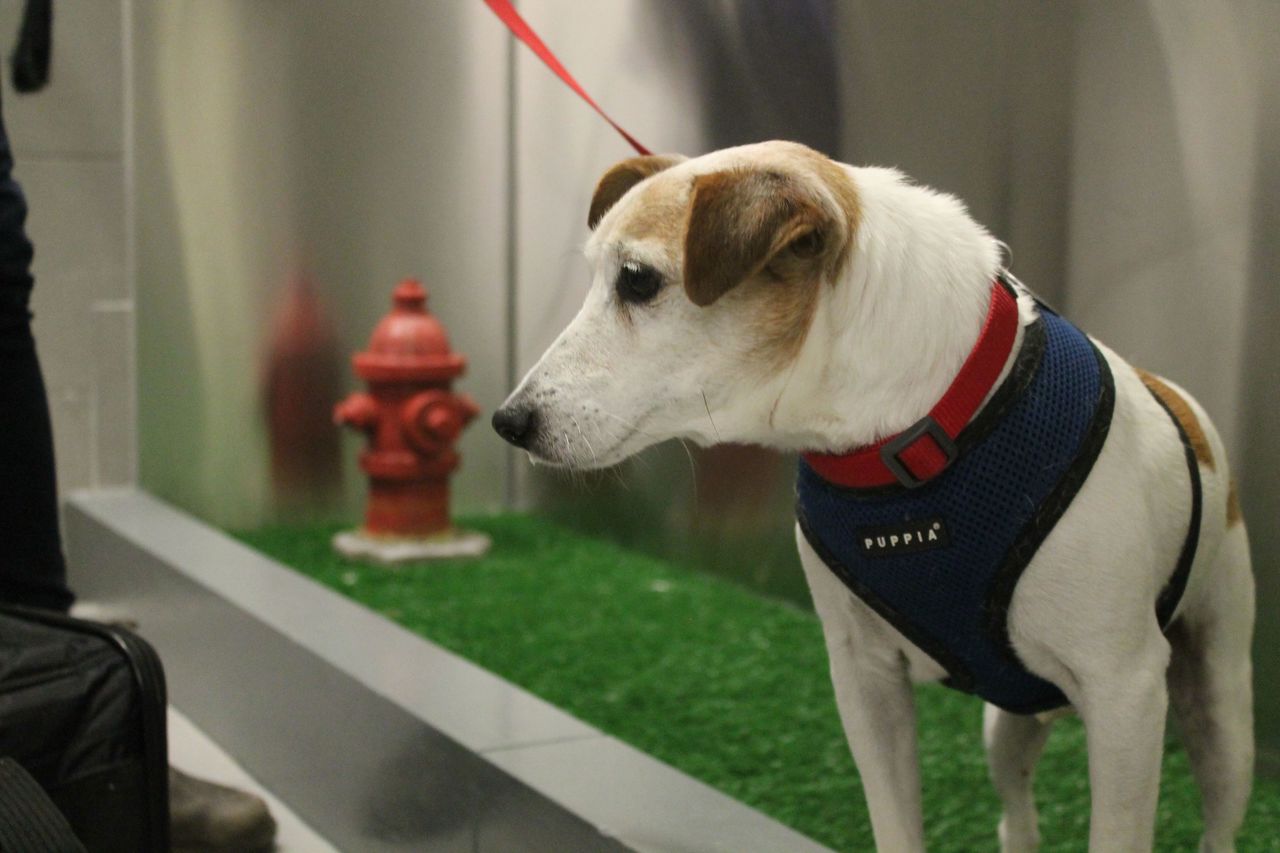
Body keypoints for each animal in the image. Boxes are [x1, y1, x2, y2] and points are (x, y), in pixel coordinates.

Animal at [494, 142, 1254, 845]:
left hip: (1219, 712)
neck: (915, 447)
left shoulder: (1126, 693)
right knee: (1018, 818)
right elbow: (895, 821)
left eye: (638, 281)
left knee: (1217, 821)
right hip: (1004, 731)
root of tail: (1183, 400)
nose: (508, 420)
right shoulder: (864, 678)